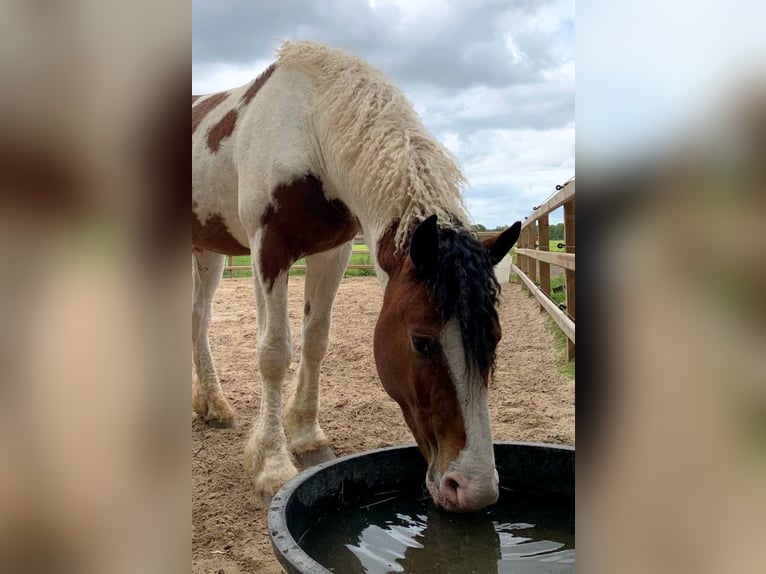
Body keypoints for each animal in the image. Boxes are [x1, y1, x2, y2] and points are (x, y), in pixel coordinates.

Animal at [192, 41, 521, 512]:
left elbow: (315, 341)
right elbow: (274, 352)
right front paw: (272, 464)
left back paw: (213, 405)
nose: (474, 489)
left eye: (495, 337)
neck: (309, 126)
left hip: (208, 252)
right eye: (421, 342)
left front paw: (307, 437)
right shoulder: (268, 249)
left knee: (198, 321)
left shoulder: (333, 252)